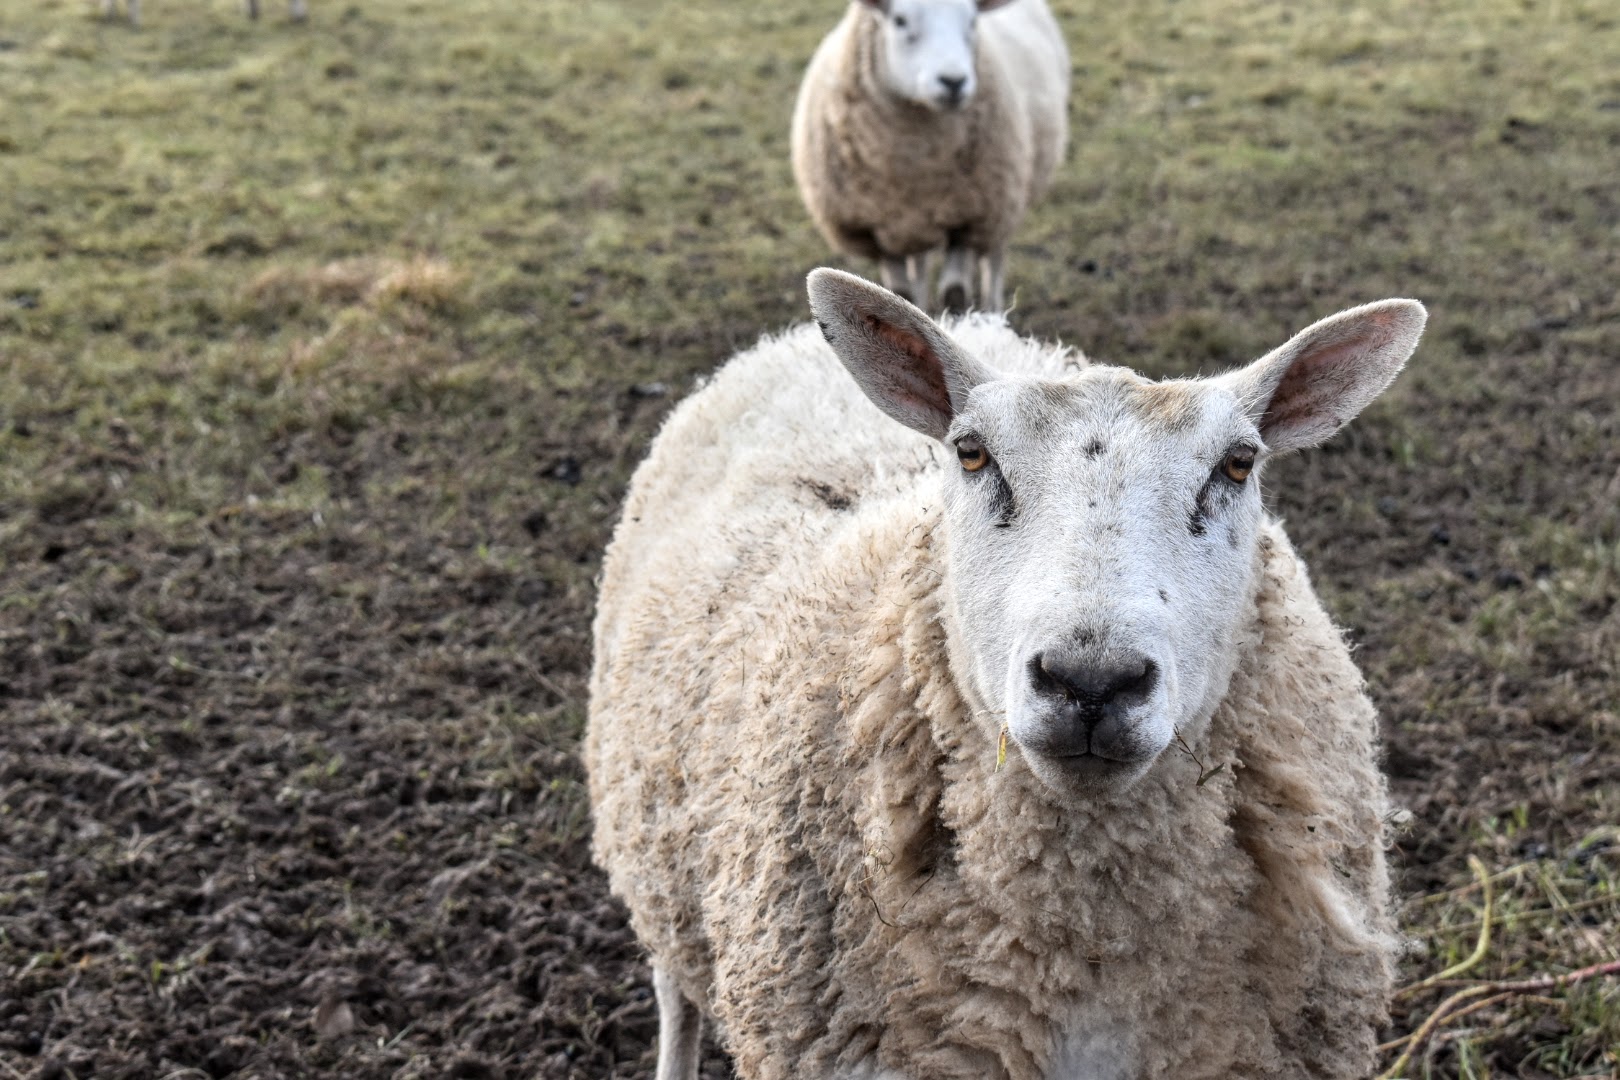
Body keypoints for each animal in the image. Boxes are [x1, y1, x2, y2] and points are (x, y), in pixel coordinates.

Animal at [790, 0, 1069, 315]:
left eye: (972, 21)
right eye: (899, 20)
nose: (953, 81)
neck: (916, 160)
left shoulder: (969, 216)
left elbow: (955, 293)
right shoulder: (876, 227)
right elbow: (901, 292)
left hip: (1006, 197)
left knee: (994, 256)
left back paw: (994, 309)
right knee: (920, 266)